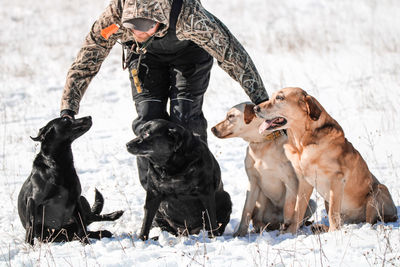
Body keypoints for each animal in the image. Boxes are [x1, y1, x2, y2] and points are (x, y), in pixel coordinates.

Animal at [17, 116, 123, 246]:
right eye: (65, 119)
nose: (89, 117)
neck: (60, 166)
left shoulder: (75, 199)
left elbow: (82, 224)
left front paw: (86, 243)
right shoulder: (33, 201)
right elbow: (30, 225)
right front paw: (29, 246)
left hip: (82, 199)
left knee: (89, 218)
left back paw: (113, 217)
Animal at [211, 102, 314, 237]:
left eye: (231, 116)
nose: (212, 129)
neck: (261, 144)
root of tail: (275, 222)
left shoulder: (291, 181)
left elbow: (289, 208)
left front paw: (286, 233)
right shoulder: (253, 182)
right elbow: (246, 210)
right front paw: (240, 233)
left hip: (311, 203)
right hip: (261, 199)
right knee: (257, 219)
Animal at [255, 88, 398, 234]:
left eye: (280, 98)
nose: (255, 108)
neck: (302, 144)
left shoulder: (337, 179)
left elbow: (332, 213)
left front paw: (334, 232)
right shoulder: (304, 182)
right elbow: (298, 210)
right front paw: (291, 231)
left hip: (377, 191)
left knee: (371, 220)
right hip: (327, 200)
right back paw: (320, 227)